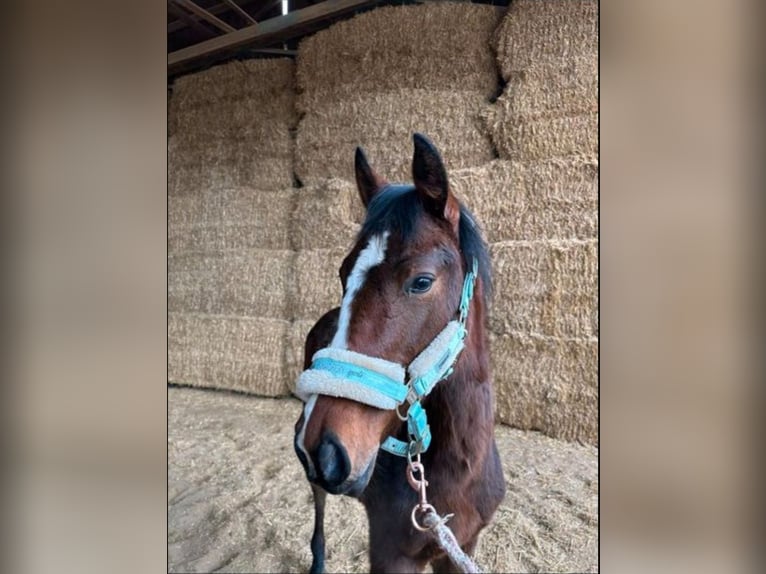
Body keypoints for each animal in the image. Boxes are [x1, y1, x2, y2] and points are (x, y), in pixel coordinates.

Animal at [293, 133, 506, 573]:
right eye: (343, 273)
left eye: (421, 281)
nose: (324, 450)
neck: (459, 471)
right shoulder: (392, 555)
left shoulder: (461, 548)